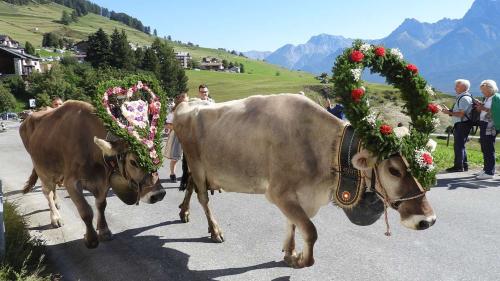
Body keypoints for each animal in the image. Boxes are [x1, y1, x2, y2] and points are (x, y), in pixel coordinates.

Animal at [20, 100, 166, 247]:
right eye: (133, 162)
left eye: (157, 159)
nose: (158, 194)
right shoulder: (71, 182)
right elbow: (86, 211)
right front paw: (91, 238)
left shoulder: (103, 182)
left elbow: (101, 206)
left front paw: (104, 230)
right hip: (42, 169)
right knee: (47, 192)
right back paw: (55, 217)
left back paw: (57, 204)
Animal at [174, 94, 436, 266]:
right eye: (393, 170)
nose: (428, 220)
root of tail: (188, 104)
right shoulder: (279, 193)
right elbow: (310, 231)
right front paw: (299, 259)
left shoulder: (301, 197)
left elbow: (293, 224)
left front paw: (289, 252)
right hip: (197, 163)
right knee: (203, 198)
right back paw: (215, 230)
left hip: (199, 168)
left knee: (190, 186)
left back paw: (184, 212)